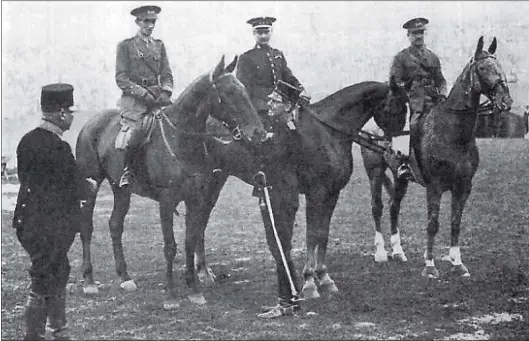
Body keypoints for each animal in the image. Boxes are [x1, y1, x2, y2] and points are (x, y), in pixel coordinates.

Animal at [74, 56, 266, 308]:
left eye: (243, 90)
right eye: (229, 92)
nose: (259, 133)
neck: (181, 140)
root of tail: (89, 125)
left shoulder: (195, 200)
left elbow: (190, 240)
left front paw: (194, 289)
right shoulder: (167, 201)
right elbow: (170, 247)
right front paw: (171, 295)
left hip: (120, 189)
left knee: (115, 225)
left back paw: (125, 277)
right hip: (91, 185)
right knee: (86, 228)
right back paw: (88, 281)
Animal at [179, 77, 406, 306]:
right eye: (397, 108)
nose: (400, 153)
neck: (327, 132)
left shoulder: (332, 194)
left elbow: (323, 234)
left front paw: (324, 278)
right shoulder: (316, 193)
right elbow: (312, 235)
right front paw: (310, 283)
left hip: (216, 180)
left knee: (201, 220)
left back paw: (204, 272)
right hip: (206, 181)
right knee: (197, 220)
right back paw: (201, 274)